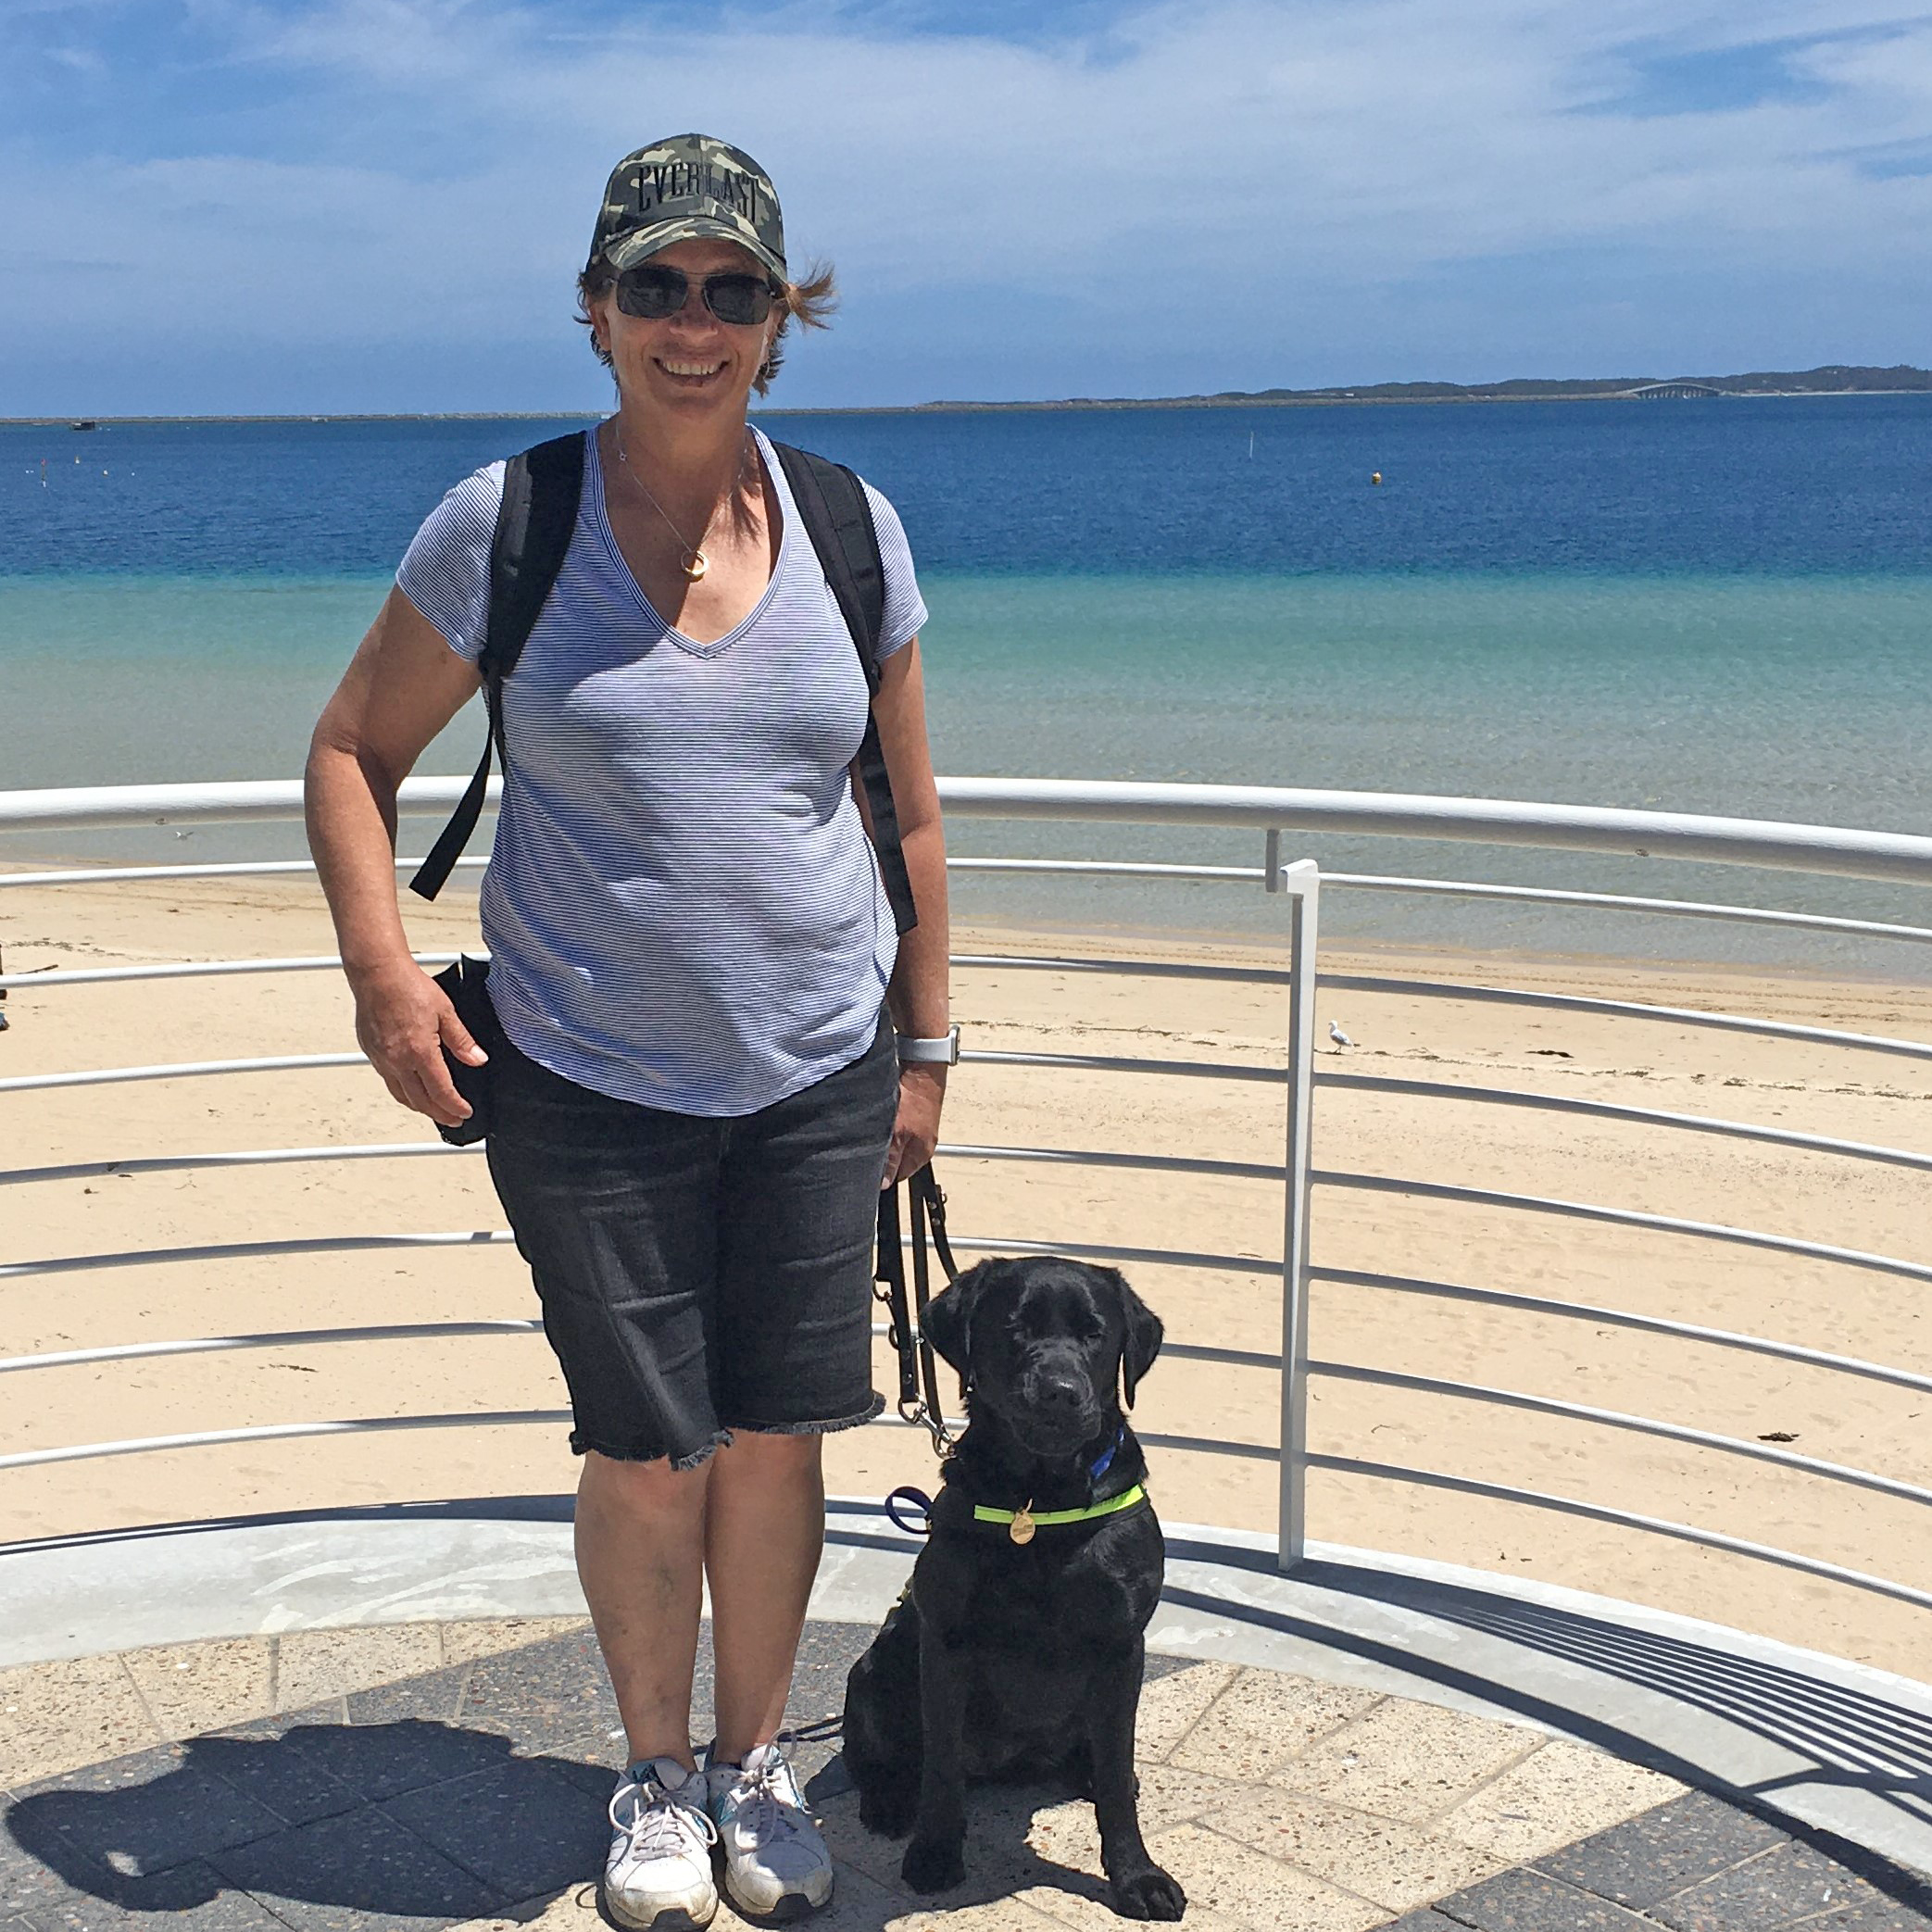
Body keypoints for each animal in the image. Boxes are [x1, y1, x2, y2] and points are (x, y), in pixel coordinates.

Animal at [849, 1251, 1189, 1916]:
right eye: (1016, 1328)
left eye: (1094, 1333)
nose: (1060, 1392)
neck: (1041, 1499)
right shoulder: (946, 1643)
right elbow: (942, 1764)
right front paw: (934, 1852)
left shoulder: (1121, 1645)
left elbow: (1116, 1777)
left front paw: (1136, 1876)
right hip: (876, 1669)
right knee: (878, 1757)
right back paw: (889, 1800)